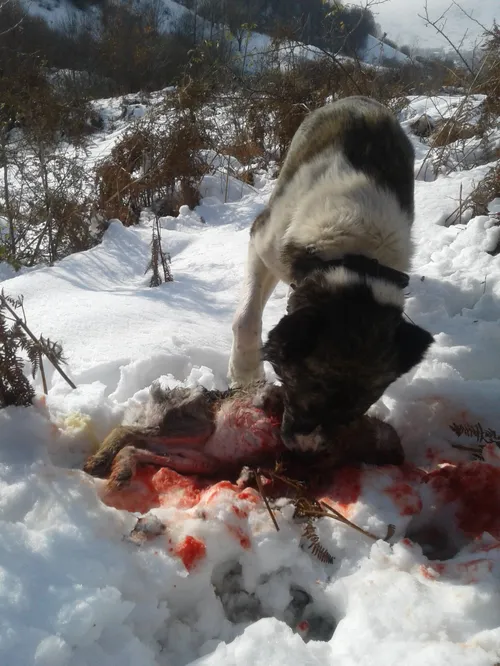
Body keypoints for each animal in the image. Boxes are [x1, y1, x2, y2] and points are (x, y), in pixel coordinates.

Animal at [228, 96, 434, 452]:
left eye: (352, 415)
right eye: (305, 391)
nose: (308, 449)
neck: (354, 251)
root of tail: (361, 99)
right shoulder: (264, 243)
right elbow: (246, 318)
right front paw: (245, 373)